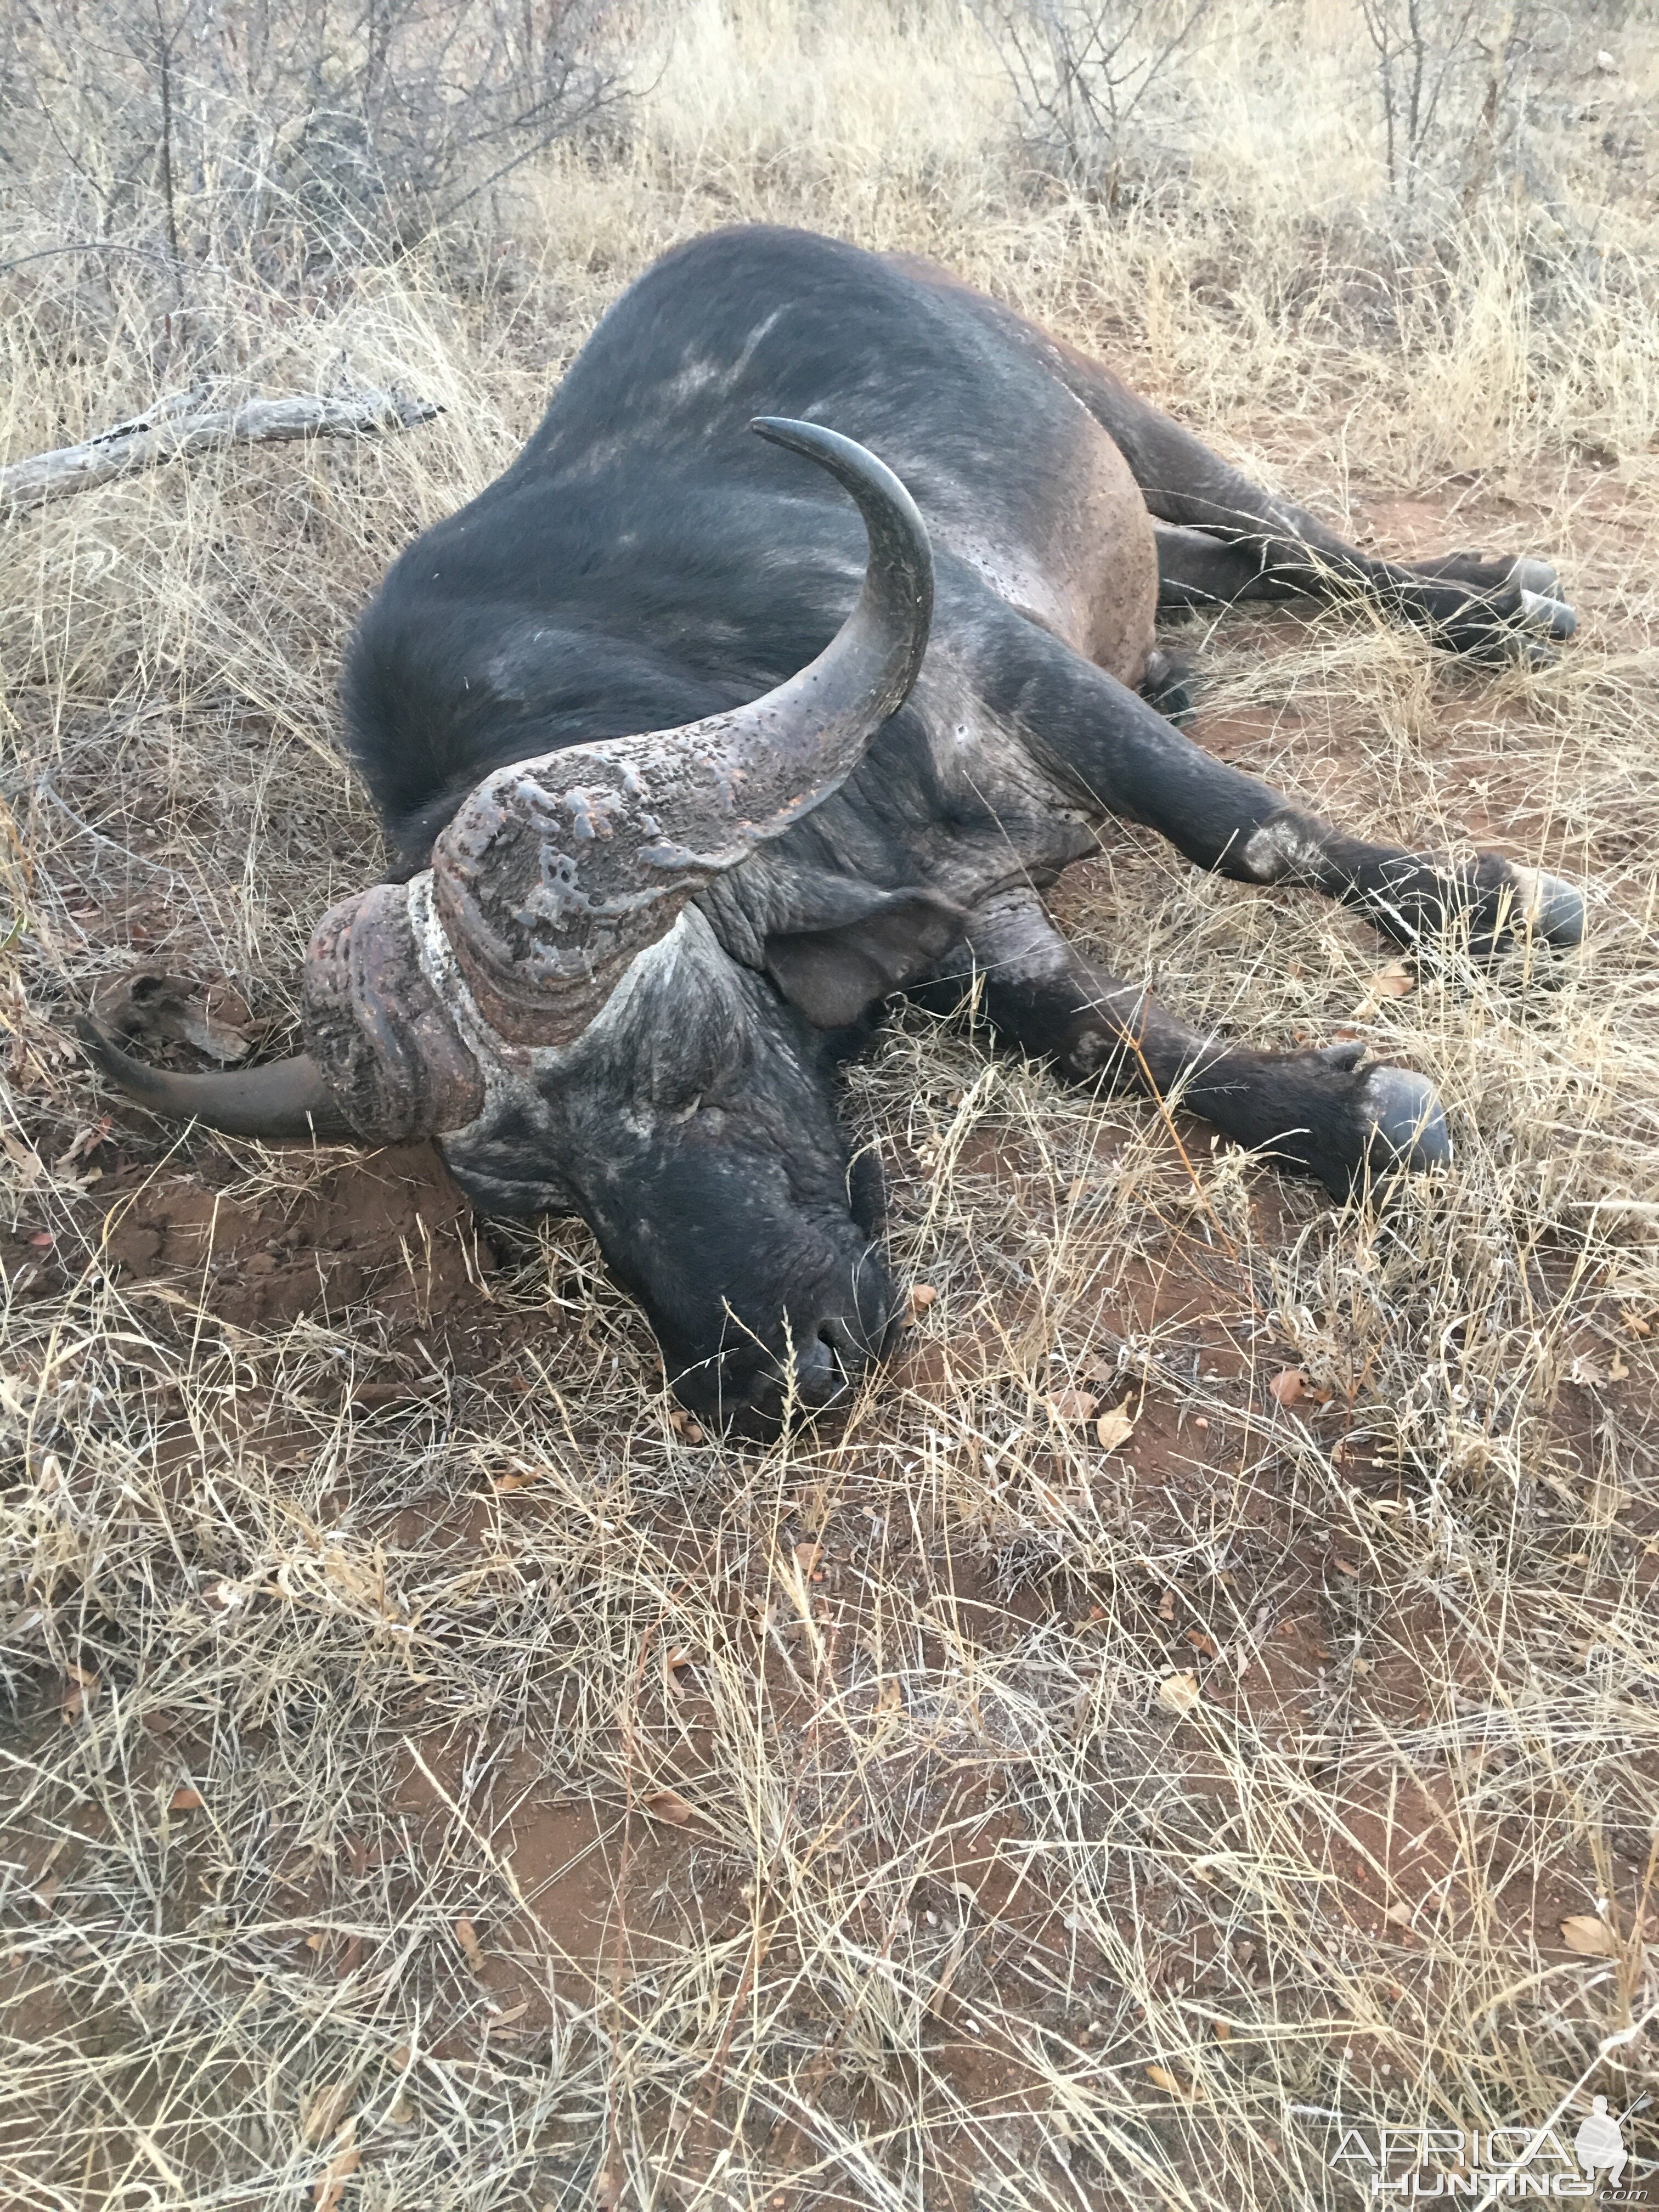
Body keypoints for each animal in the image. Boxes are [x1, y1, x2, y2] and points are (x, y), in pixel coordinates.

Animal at [78, 224, 1583, 1424]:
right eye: (539, 1203)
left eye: (682, 1067)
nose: (770, 1381)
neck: (646, 665)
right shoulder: (976, 918)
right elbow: (1110, 1044)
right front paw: (1345, 1117)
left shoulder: (1015, 671)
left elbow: (1240, 827)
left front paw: (1486, 907)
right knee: (1221, 571)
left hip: (1122, 414)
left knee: (1289, 540)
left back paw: (1497, 606)